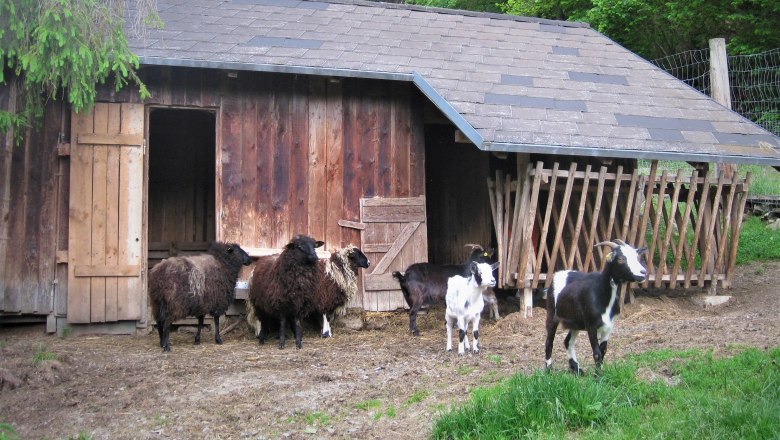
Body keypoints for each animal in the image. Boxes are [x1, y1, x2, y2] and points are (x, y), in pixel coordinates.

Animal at [544, 239, 644, 372]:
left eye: (637, 257)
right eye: (620, 259)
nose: (643, 272)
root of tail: (559, 273)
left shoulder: (609, 326)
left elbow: (603, 351)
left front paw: (599, 374)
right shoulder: (591, 325)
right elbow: (596, 353)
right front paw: (598, 376)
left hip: (576, 322)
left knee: (568, 341)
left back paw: (576, 369)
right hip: (552, 313)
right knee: (549, 341)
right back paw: (548, 369)